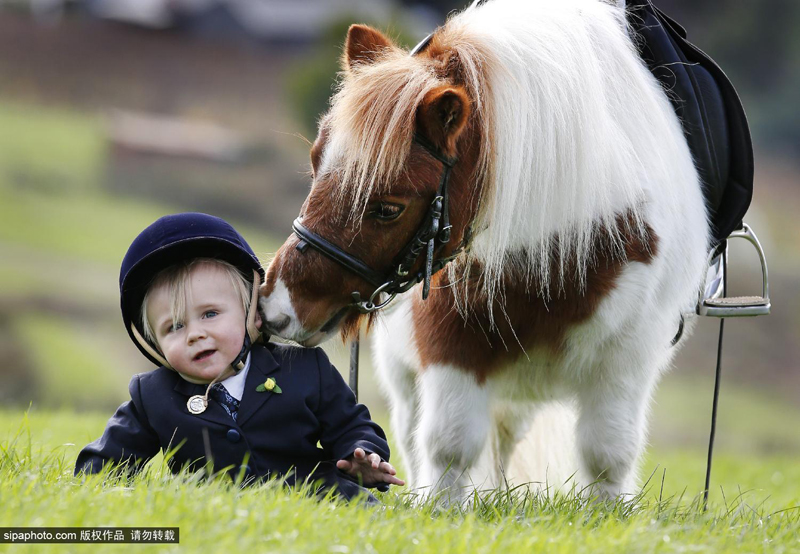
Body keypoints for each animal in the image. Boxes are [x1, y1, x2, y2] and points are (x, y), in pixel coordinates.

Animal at [260, 0, 708, 500]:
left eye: (388, 208)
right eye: (315, 163)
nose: (276, 305)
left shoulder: (628, 356)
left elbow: (608, 454)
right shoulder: (450, 336)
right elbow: (449, 445)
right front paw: (439, 508)